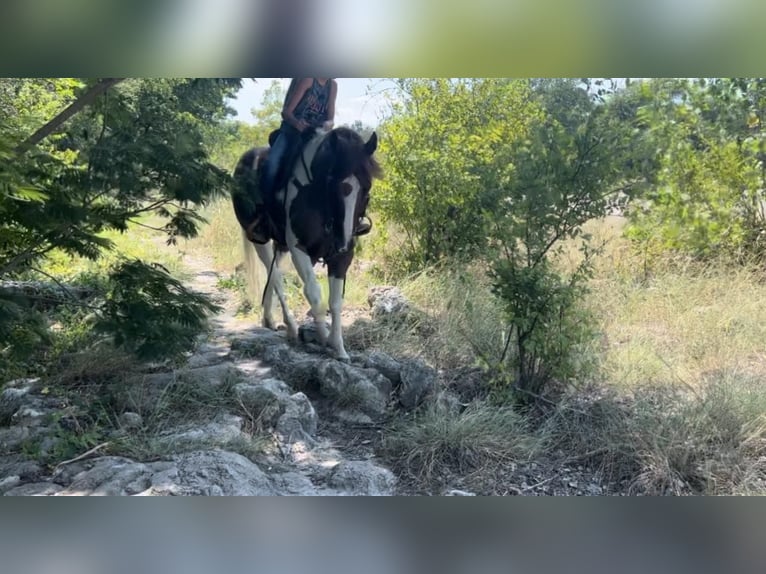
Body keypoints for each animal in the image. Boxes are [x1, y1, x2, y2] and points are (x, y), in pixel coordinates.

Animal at [230, 126, 382, 362]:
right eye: (332, 181)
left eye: (366, 187)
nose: (344, 240)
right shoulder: (299, 250)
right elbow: (315, 295)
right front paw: (324, 338)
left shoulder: (341, 258)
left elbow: (335, 302)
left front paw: (339, 348)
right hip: (259, 240)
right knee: (276, 277)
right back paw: (291, 328)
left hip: (281, 246)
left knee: (272, 273)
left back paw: (269, 319)